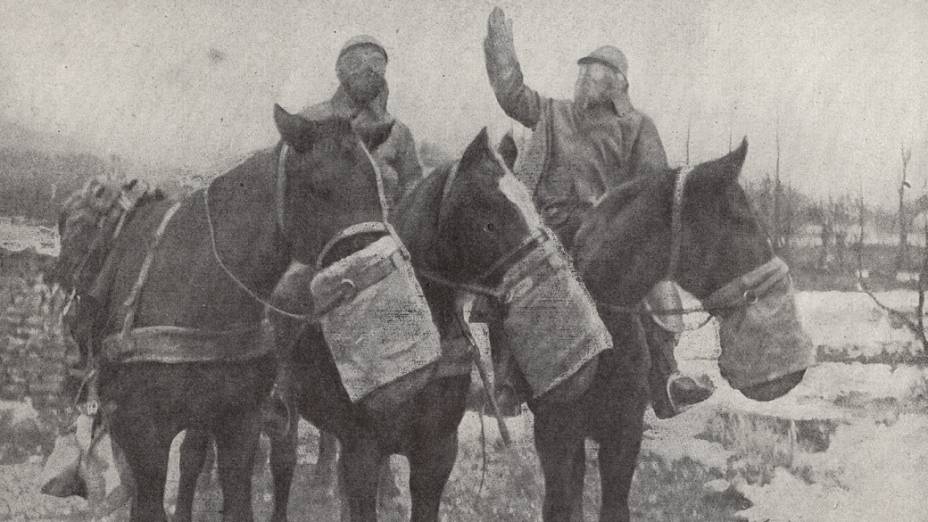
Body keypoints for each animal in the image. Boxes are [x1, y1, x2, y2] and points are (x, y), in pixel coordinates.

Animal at [95, 103, 396, 516]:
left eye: (379, 188)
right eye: (319, 188)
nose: (375, 265)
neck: (198, 291)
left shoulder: (240, 427)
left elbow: (239, 497)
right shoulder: (143, 437)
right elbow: (149, 502)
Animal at [508, 139, 812, 520]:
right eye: (742, 220)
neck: (603, 328)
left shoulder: (625, 435)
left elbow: (614, 507)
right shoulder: (555, 437)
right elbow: (561, 506)